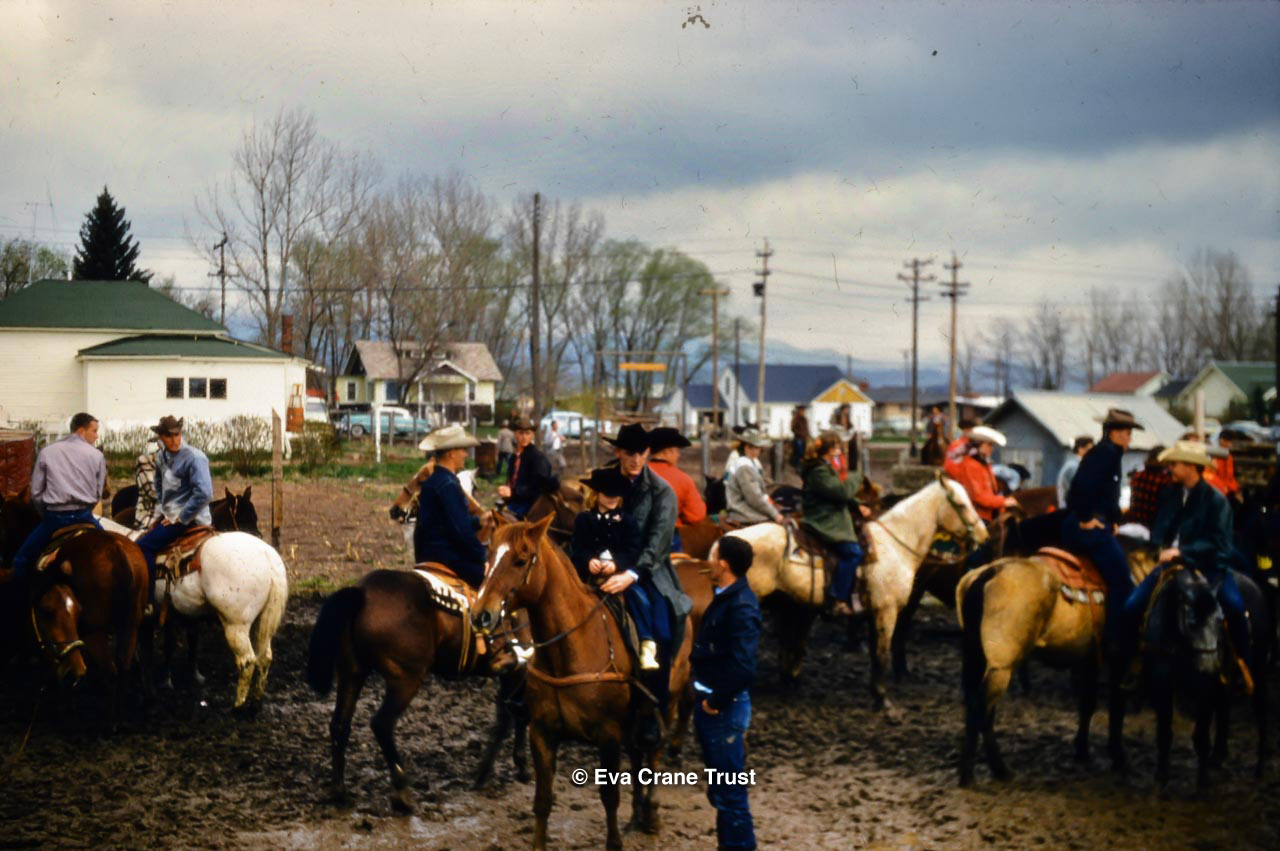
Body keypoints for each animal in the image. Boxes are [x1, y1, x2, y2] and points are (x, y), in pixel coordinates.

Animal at [306, 566, 529, 811]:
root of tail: (362, 592)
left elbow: (509, 716)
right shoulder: (520, 671)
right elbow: (514, 716)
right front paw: (505, 768)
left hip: (352, 673)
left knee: (340, 725)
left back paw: (339, 790)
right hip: (406, 679)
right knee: (382, 724)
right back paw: (402, 791)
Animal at [472, 516, 695, 850]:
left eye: (521, 560)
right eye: (488, 556)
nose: (480, 614)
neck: (569, 650)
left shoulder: (608, 735)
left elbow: (610, 796)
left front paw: (615, 842)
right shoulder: (542, 733)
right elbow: (542, 800)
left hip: (666, 701)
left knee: (654, 751)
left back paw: (651, 814)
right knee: (639, 754)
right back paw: (637, 815)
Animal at [1110, 565, 1270, 790]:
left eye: (1220, 621)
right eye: (1192, 623)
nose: (1210, 667)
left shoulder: (1206, 687)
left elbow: (1201, 736)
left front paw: (1202, 783)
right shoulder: (1162, 682)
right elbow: (1164, 731)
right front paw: (1162, 776)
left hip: (1257, 668)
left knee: (1261, 709)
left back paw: (1260, 767)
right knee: (1225, 706)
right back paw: (1218, 757)